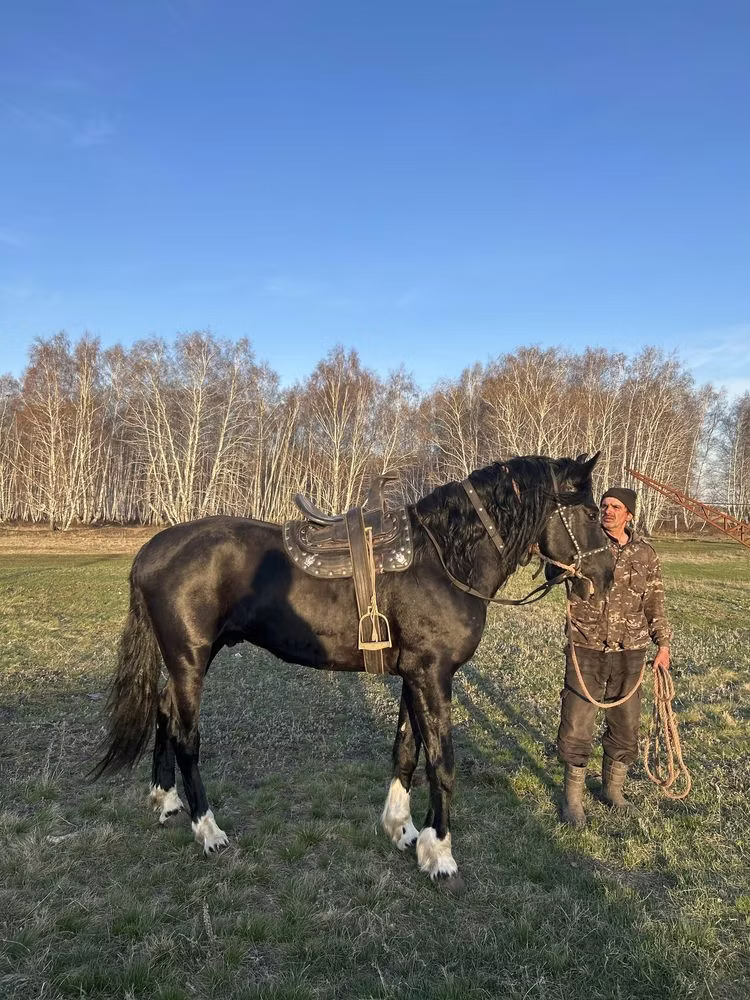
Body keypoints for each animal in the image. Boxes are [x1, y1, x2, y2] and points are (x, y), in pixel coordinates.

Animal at [93, 452, 614, 880]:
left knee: (163, 711)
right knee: (186, 737)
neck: (443, 558)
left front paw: (403, 830)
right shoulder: (433, 675)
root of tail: (153, 549)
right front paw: (441, 854)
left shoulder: (414, 675)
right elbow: (442, 762)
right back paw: (208, 829)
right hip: (190, 659)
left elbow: (407, 751)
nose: (606, 575)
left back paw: (166, 800)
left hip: (191, 659)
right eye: (591, 513)